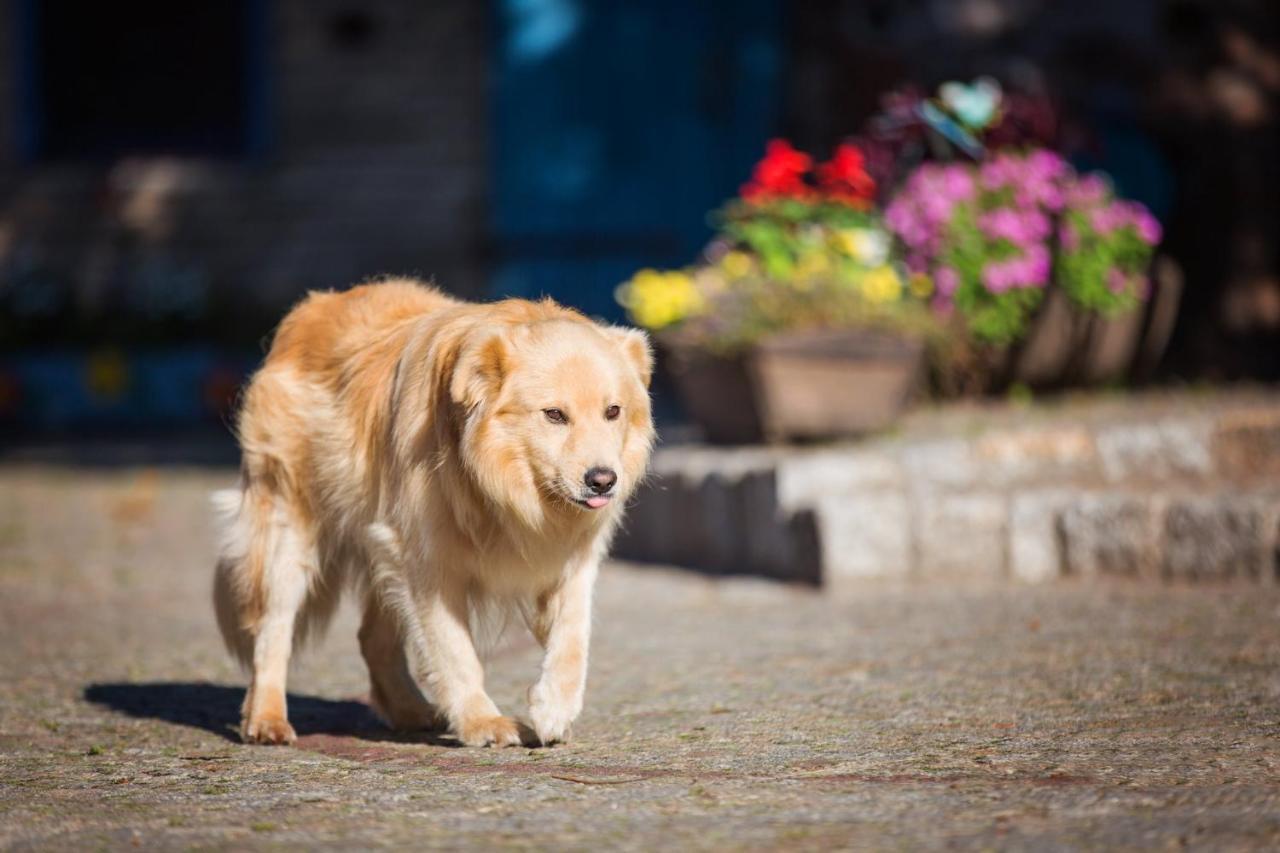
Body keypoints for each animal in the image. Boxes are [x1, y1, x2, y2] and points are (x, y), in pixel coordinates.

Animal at [213, 279, 655, 742]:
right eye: (554, 415)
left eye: (613, 411)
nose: (603, 480)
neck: (502, 486)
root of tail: (312, 307)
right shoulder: (428, 562)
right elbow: (454, 649)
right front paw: (482, 722)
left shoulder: (571, 557)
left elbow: (572, 637)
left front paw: (555, 707)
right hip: (291, 527)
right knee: (273, 629)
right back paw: (266, 718)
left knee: (371, 638)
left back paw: (409, 710)